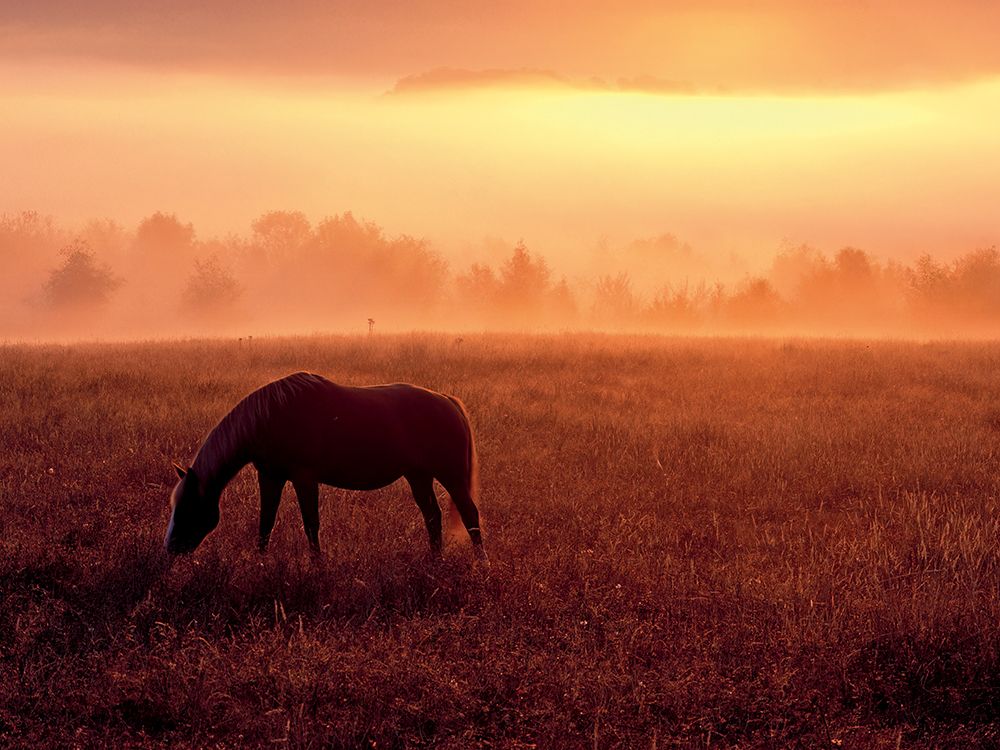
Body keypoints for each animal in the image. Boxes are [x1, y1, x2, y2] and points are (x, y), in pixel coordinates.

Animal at [164, 372, 486, 563]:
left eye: (188, 506)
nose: (170, 548)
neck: (270, 417)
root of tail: (448, 401)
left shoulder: (304, 478)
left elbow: (311, 523)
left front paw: (317, 566)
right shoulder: (270, 476)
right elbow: (266, 522)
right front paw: (259, 562)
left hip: (450, 475)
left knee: (469, 514)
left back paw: (481, 563)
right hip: (418, 476)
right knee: (432, 515)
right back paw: (435, 559)